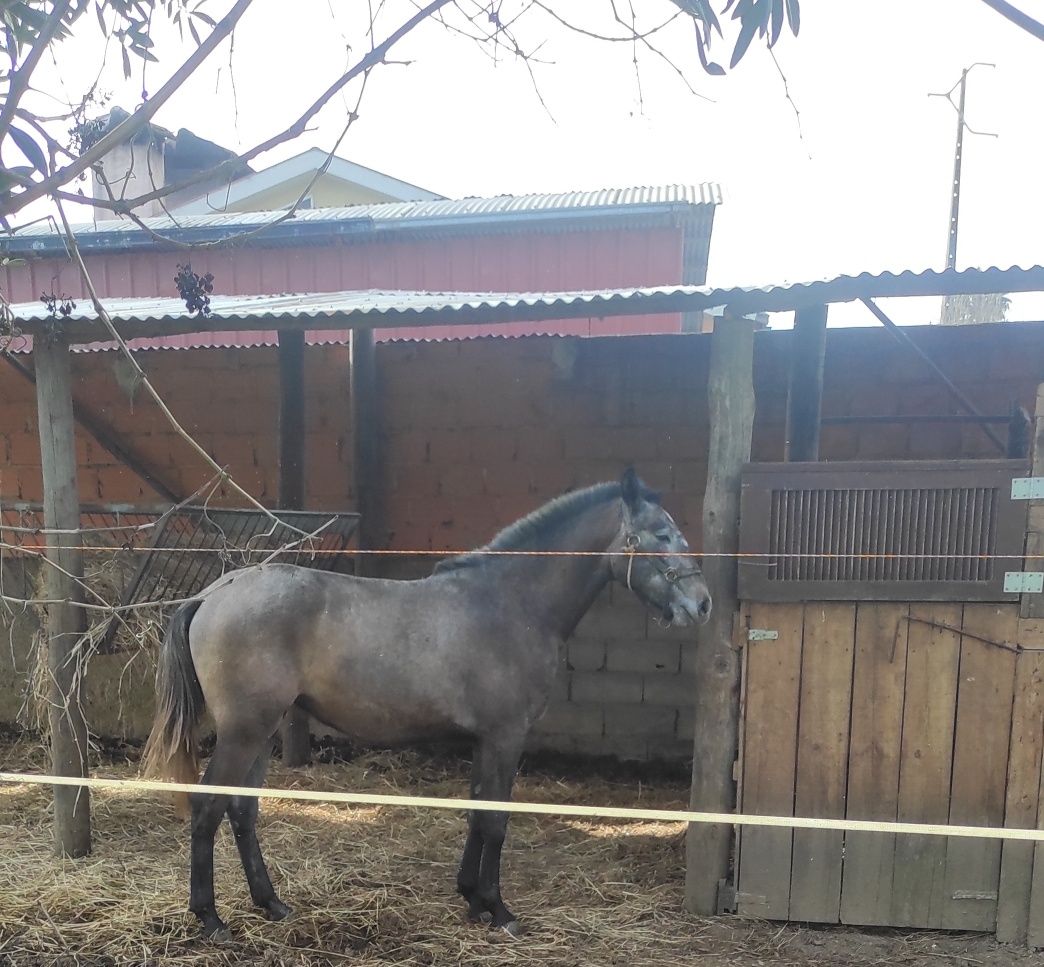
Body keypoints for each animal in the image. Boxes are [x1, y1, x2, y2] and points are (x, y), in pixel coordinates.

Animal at [145, 474, 709, 944]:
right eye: (661, 534)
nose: (701, 603)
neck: (511, 604)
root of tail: (216, 591)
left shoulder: (486, 740)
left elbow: (477, 811)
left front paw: (473, 900)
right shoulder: (506, 736)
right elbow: (496, 821)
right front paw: (499, 911)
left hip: (261, 732)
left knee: (241, 811)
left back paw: (271, 904)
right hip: (244, 733)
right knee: (208, 810)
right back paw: (211, 918)